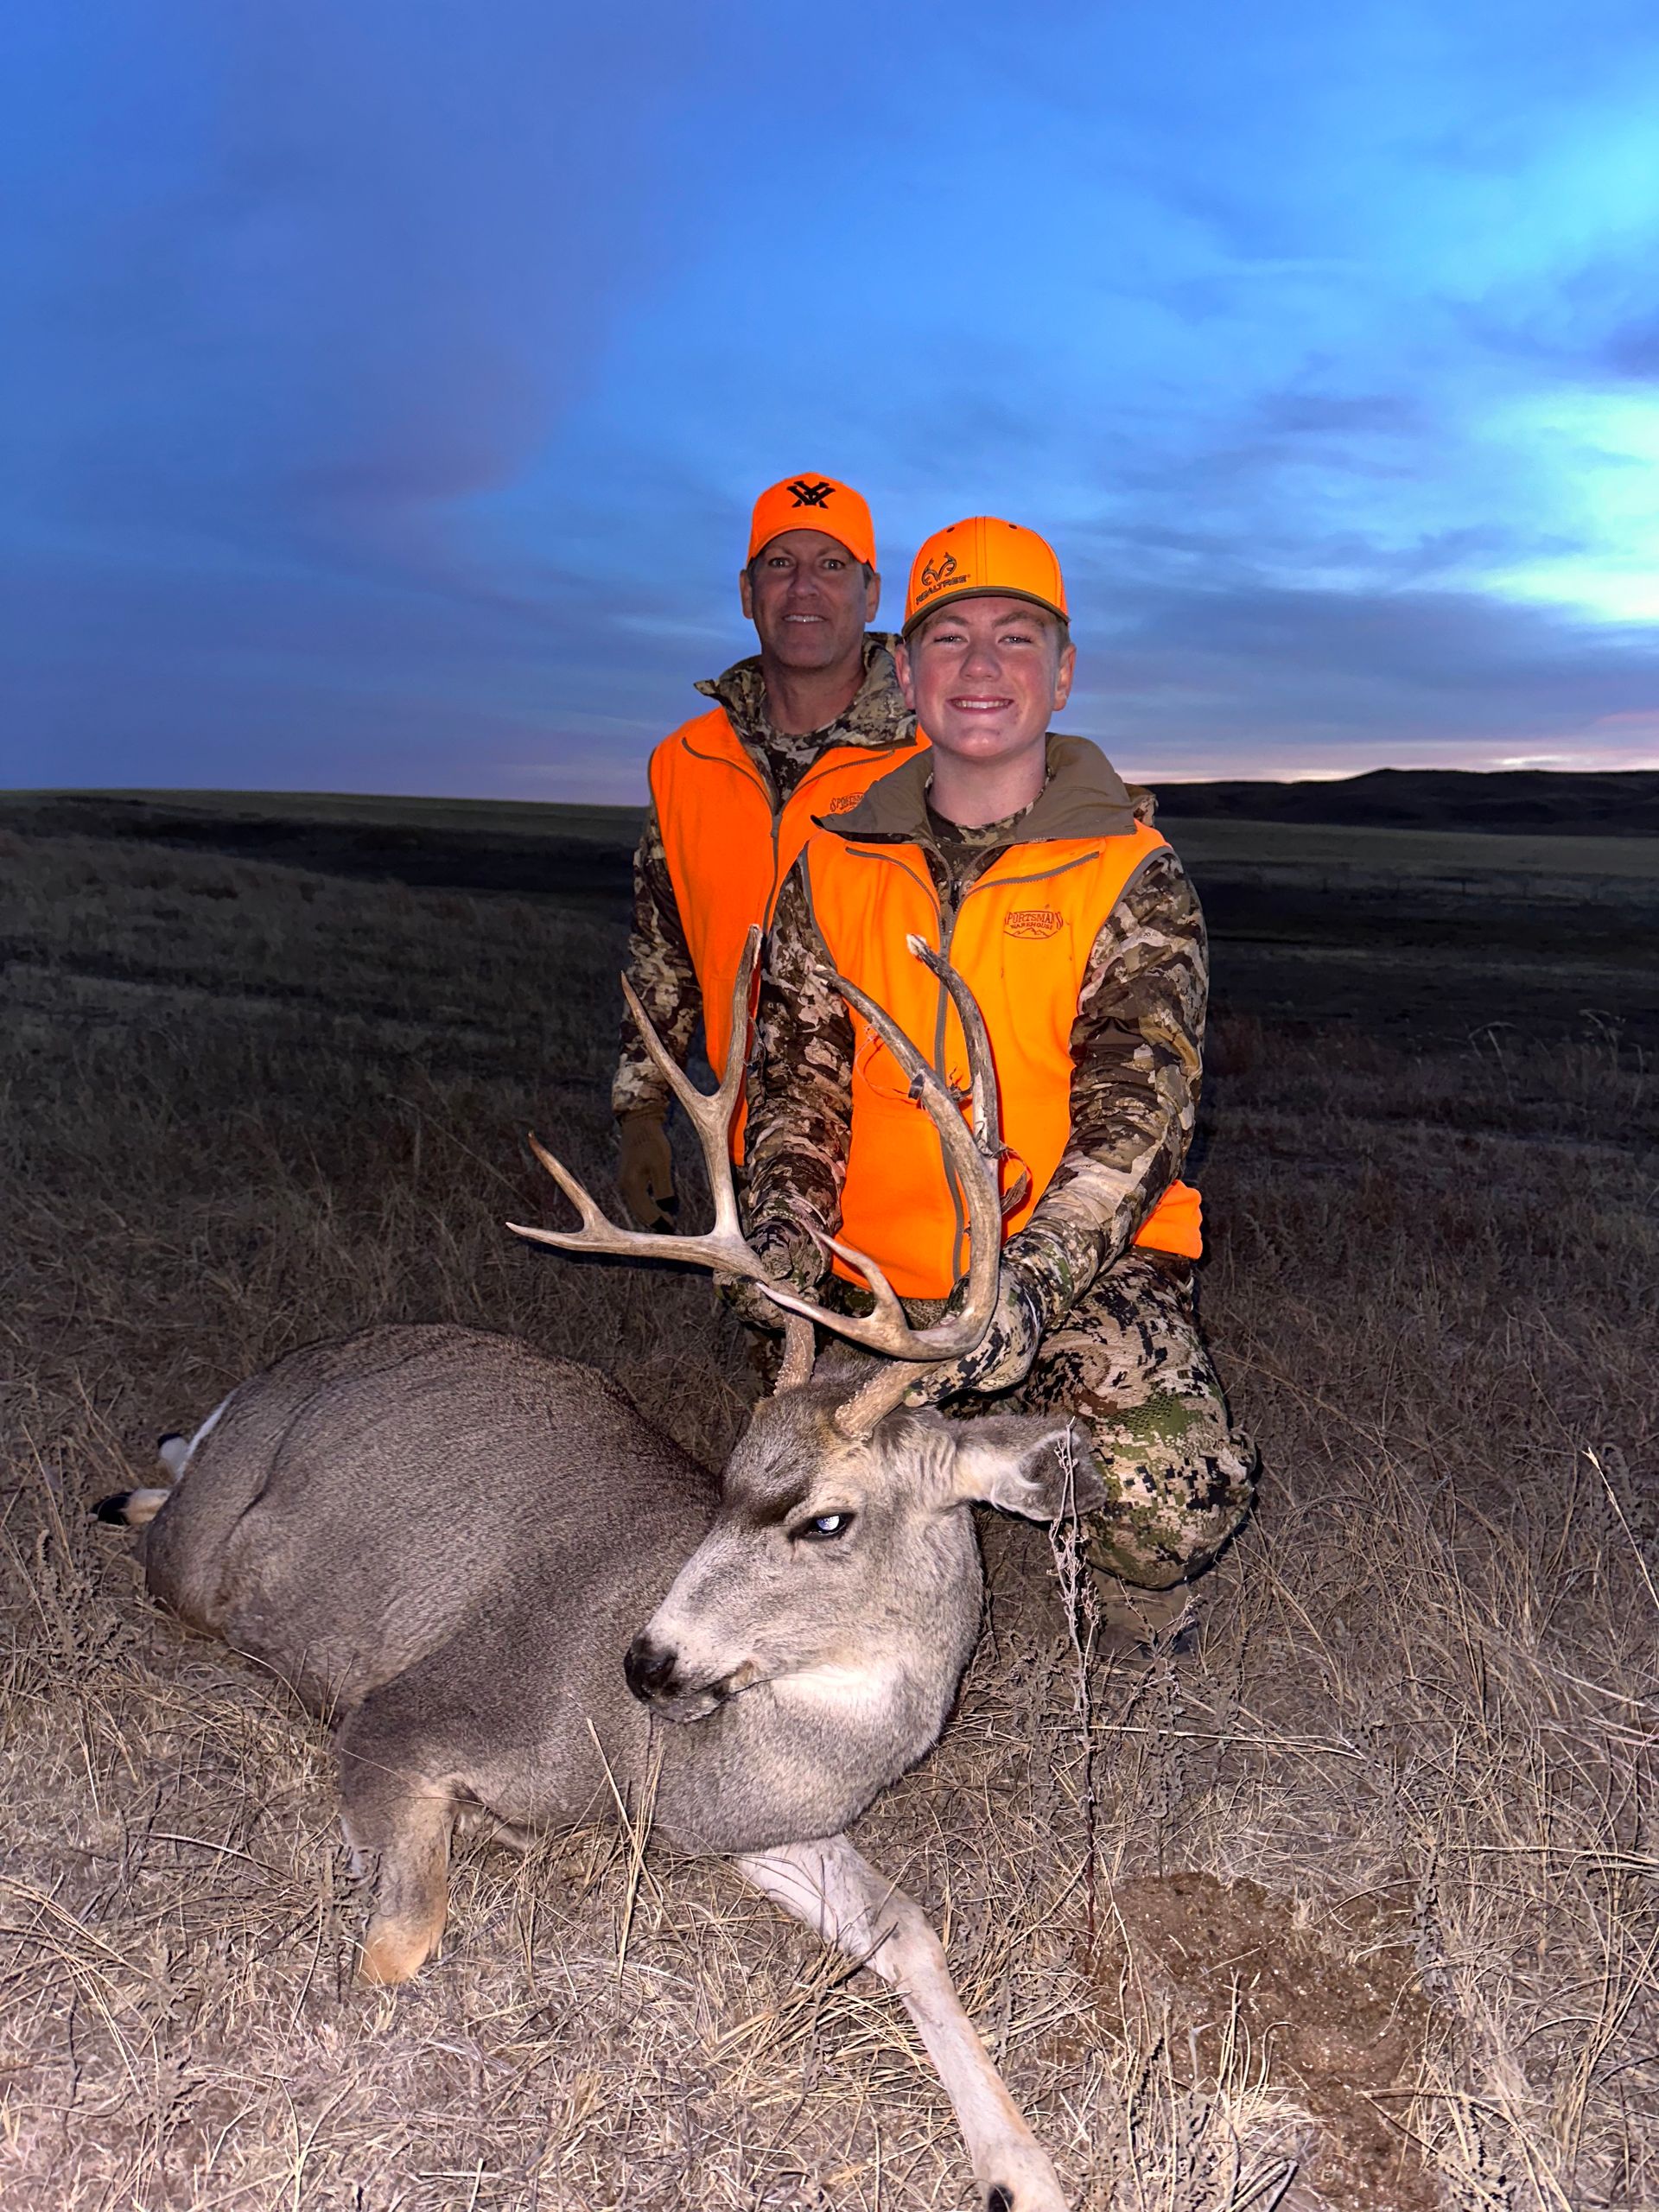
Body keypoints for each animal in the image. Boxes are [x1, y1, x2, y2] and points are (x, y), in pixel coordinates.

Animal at [95, 929, 1103, 2212]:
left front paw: (1022, 2166)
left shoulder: (746, 1823)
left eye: (825, 1520)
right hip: (198, 1558)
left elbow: (910, 1928)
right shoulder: (408, 1716)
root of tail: (268, 1380)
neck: (662, 1764)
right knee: (166, 1527)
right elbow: (400, 1943)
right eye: (725, 1477)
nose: (648, 1661)